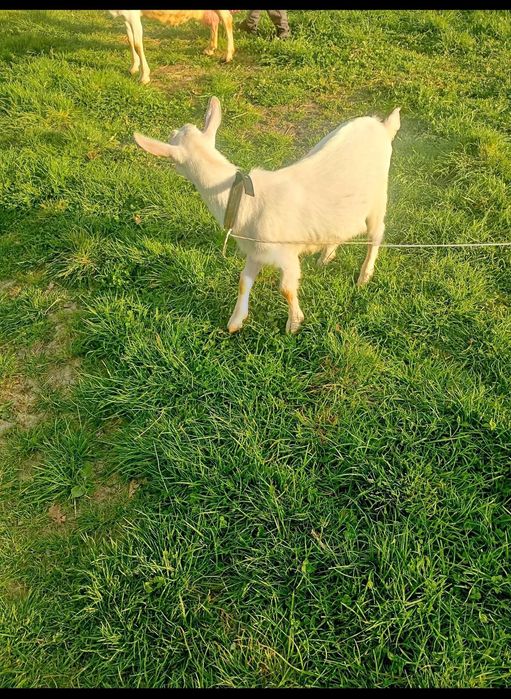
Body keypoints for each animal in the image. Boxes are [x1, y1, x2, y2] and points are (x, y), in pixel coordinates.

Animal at [133, 97, 401, 333]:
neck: (243, 199)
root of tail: (382, 126)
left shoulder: (286, 253)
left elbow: (286, 289)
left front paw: (294, 324)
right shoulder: (256, 250)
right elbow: (244, 280)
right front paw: (235, 321)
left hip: (379, 196)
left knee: (376, 234)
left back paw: (364, 275)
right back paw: (326, 256)